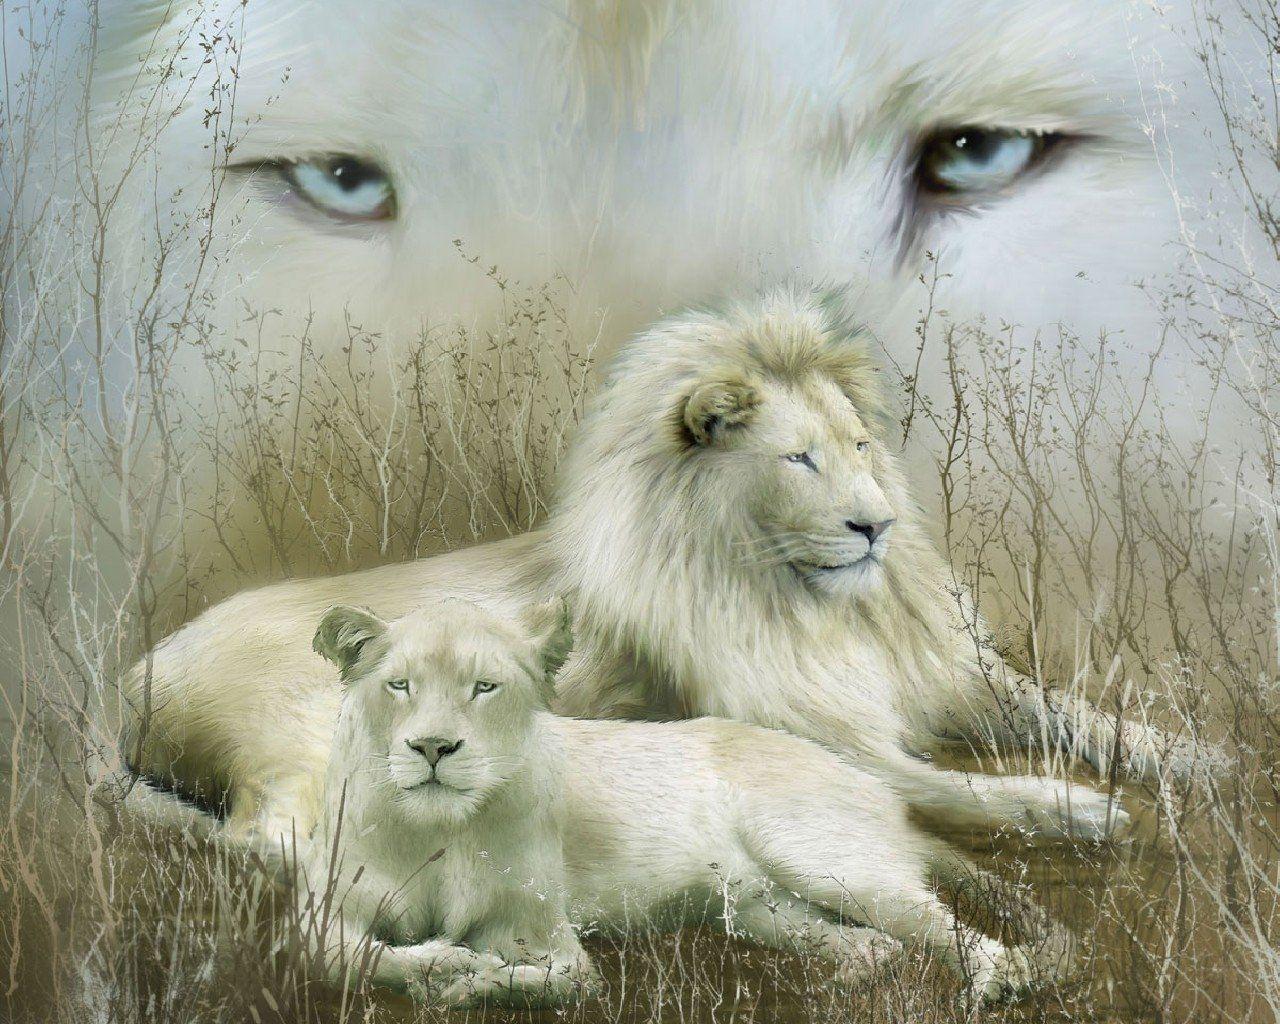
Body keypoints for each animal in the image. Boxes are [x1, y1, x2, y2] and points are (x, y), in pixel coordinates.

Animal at [113, 288, 1179, 849]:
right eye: (799, 459)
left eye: (859, 445)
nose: (874, 527)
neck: (812, 606)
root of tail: (137, 676)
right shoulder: (808, 731)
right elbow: (953, 789)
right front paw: (1078, 807)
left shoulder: (944, 676)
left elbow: (1069, 711)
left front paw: (1183, 756)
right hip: (313, 731)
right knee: (278, 840)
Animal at [281, 596, 1068, 1007]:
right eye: (400, 685)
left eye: (484, 687)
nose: (433, 748)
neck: (436, 832)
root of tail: (870, 783)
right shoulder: (319, 915)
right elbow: (340, 956)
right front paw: (439, 965)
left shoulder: (546, 935)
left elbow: (557, 980)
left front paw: (462, 977)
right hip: (762, 908)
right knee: (875, 946)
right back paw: (834, 983)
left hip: (827, 860)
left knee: (961, 934)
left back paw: (995, 987)